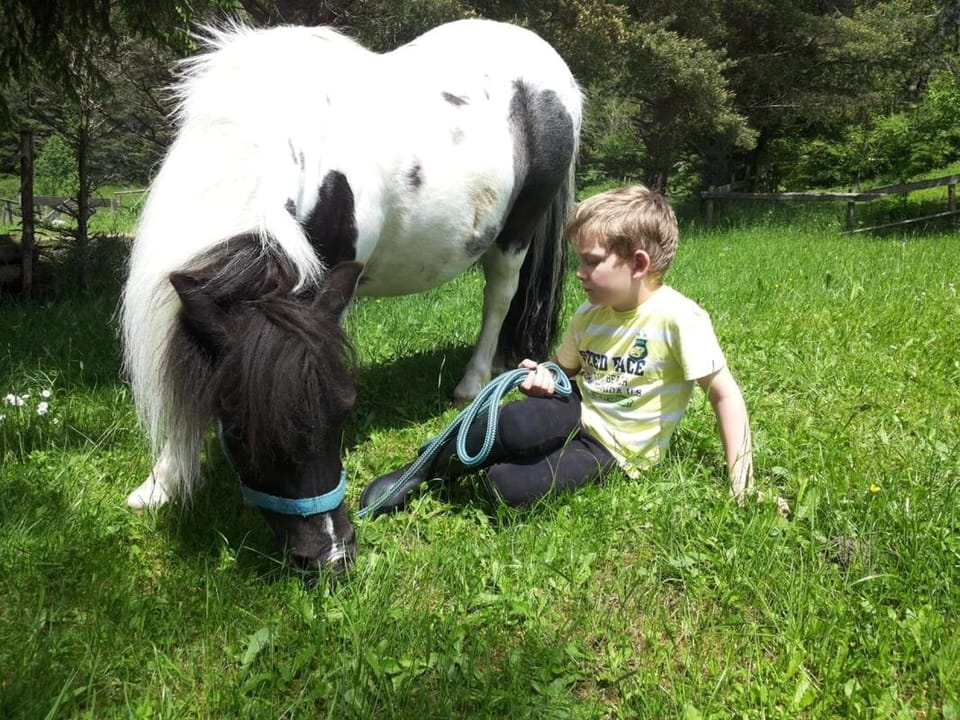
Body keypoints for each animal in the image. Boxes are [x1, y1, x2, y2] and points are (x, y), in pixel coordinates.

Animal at [120, 18, 582, 575]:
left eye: (342, 412)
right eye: (241, 428)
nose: (333, 555)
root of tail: (550, 66)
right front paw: (160, 485)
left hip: (517, 230)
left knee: (500, 297)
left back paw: (471, 384)